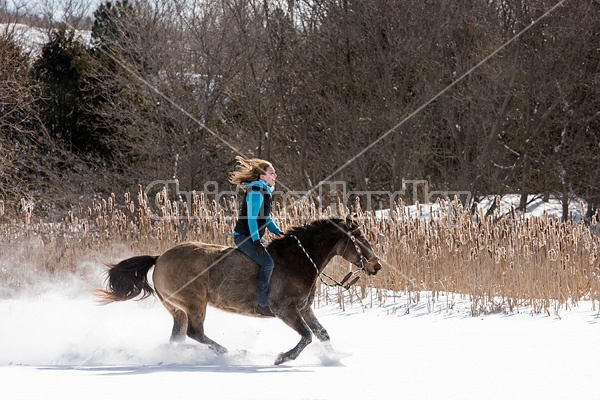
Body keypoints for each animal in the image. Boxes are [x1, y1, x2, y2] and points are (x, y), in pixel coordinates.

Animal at [97, 217, 380, 364]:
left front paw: (336, 359)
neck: (298, 260)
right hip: (195, 304)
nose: (376, 265)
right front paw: (282, 357)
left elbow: (322, 334)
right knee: (195, 332)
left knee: (178, 336)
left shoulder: (303, 308)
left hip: (176, 308)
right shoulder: (285, 310)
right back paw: (230, 352)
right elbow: (308, 336)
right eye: (360, 238)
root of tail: (159, 258)